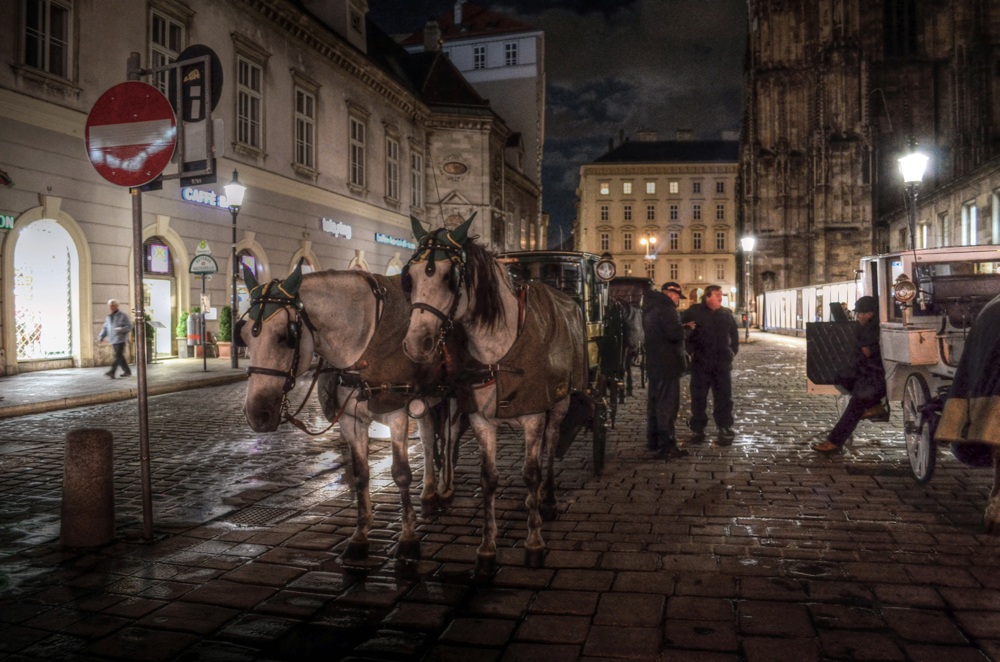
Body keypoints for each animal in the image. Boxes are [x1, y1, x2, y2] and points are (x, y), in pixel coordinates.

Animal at [240, 262, 462, 564]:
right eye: (242, 336)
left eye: (286, 337)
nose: (257, 414)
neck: (363, 345)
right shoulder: (350, 419)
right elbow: (360, 474)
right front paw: (360, 536)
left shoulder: (396, 414)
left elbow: (401, 473)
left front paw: (408, 538)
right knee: (429, 439)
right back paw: (428, 494)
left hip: (454, 395)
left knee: (449, 439)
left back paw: (445, 490)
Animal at [398, 219, 584, 580]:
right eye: (408, 276)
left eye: (450, 276)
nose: (416, 344)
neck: (497, 350)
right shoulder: (480, 419)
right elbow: (489, 479)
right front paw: (486, 549)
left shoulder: (534, 415)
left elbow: (530, 473)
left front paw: (534, 543)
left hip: (560, 404)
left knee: (549, 449)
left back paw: (547, 501)